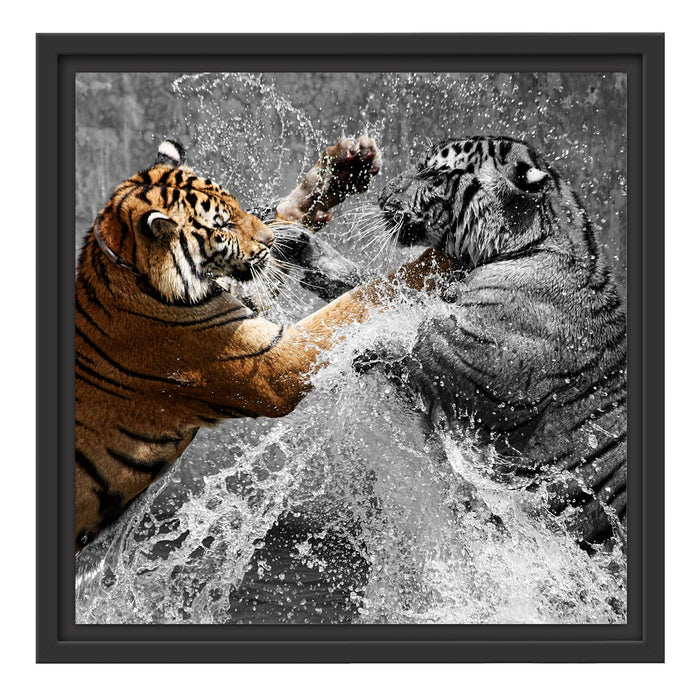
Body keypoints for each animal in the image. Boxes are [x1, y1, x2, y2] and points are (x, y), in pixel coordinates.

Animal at [74, 137, 450, 552]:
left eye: (238, 207)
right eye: (222, 226)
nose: (269, 241)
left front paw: (345, 167)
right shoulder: (273, 365)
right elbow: (352, 302)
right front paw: (433, 263)